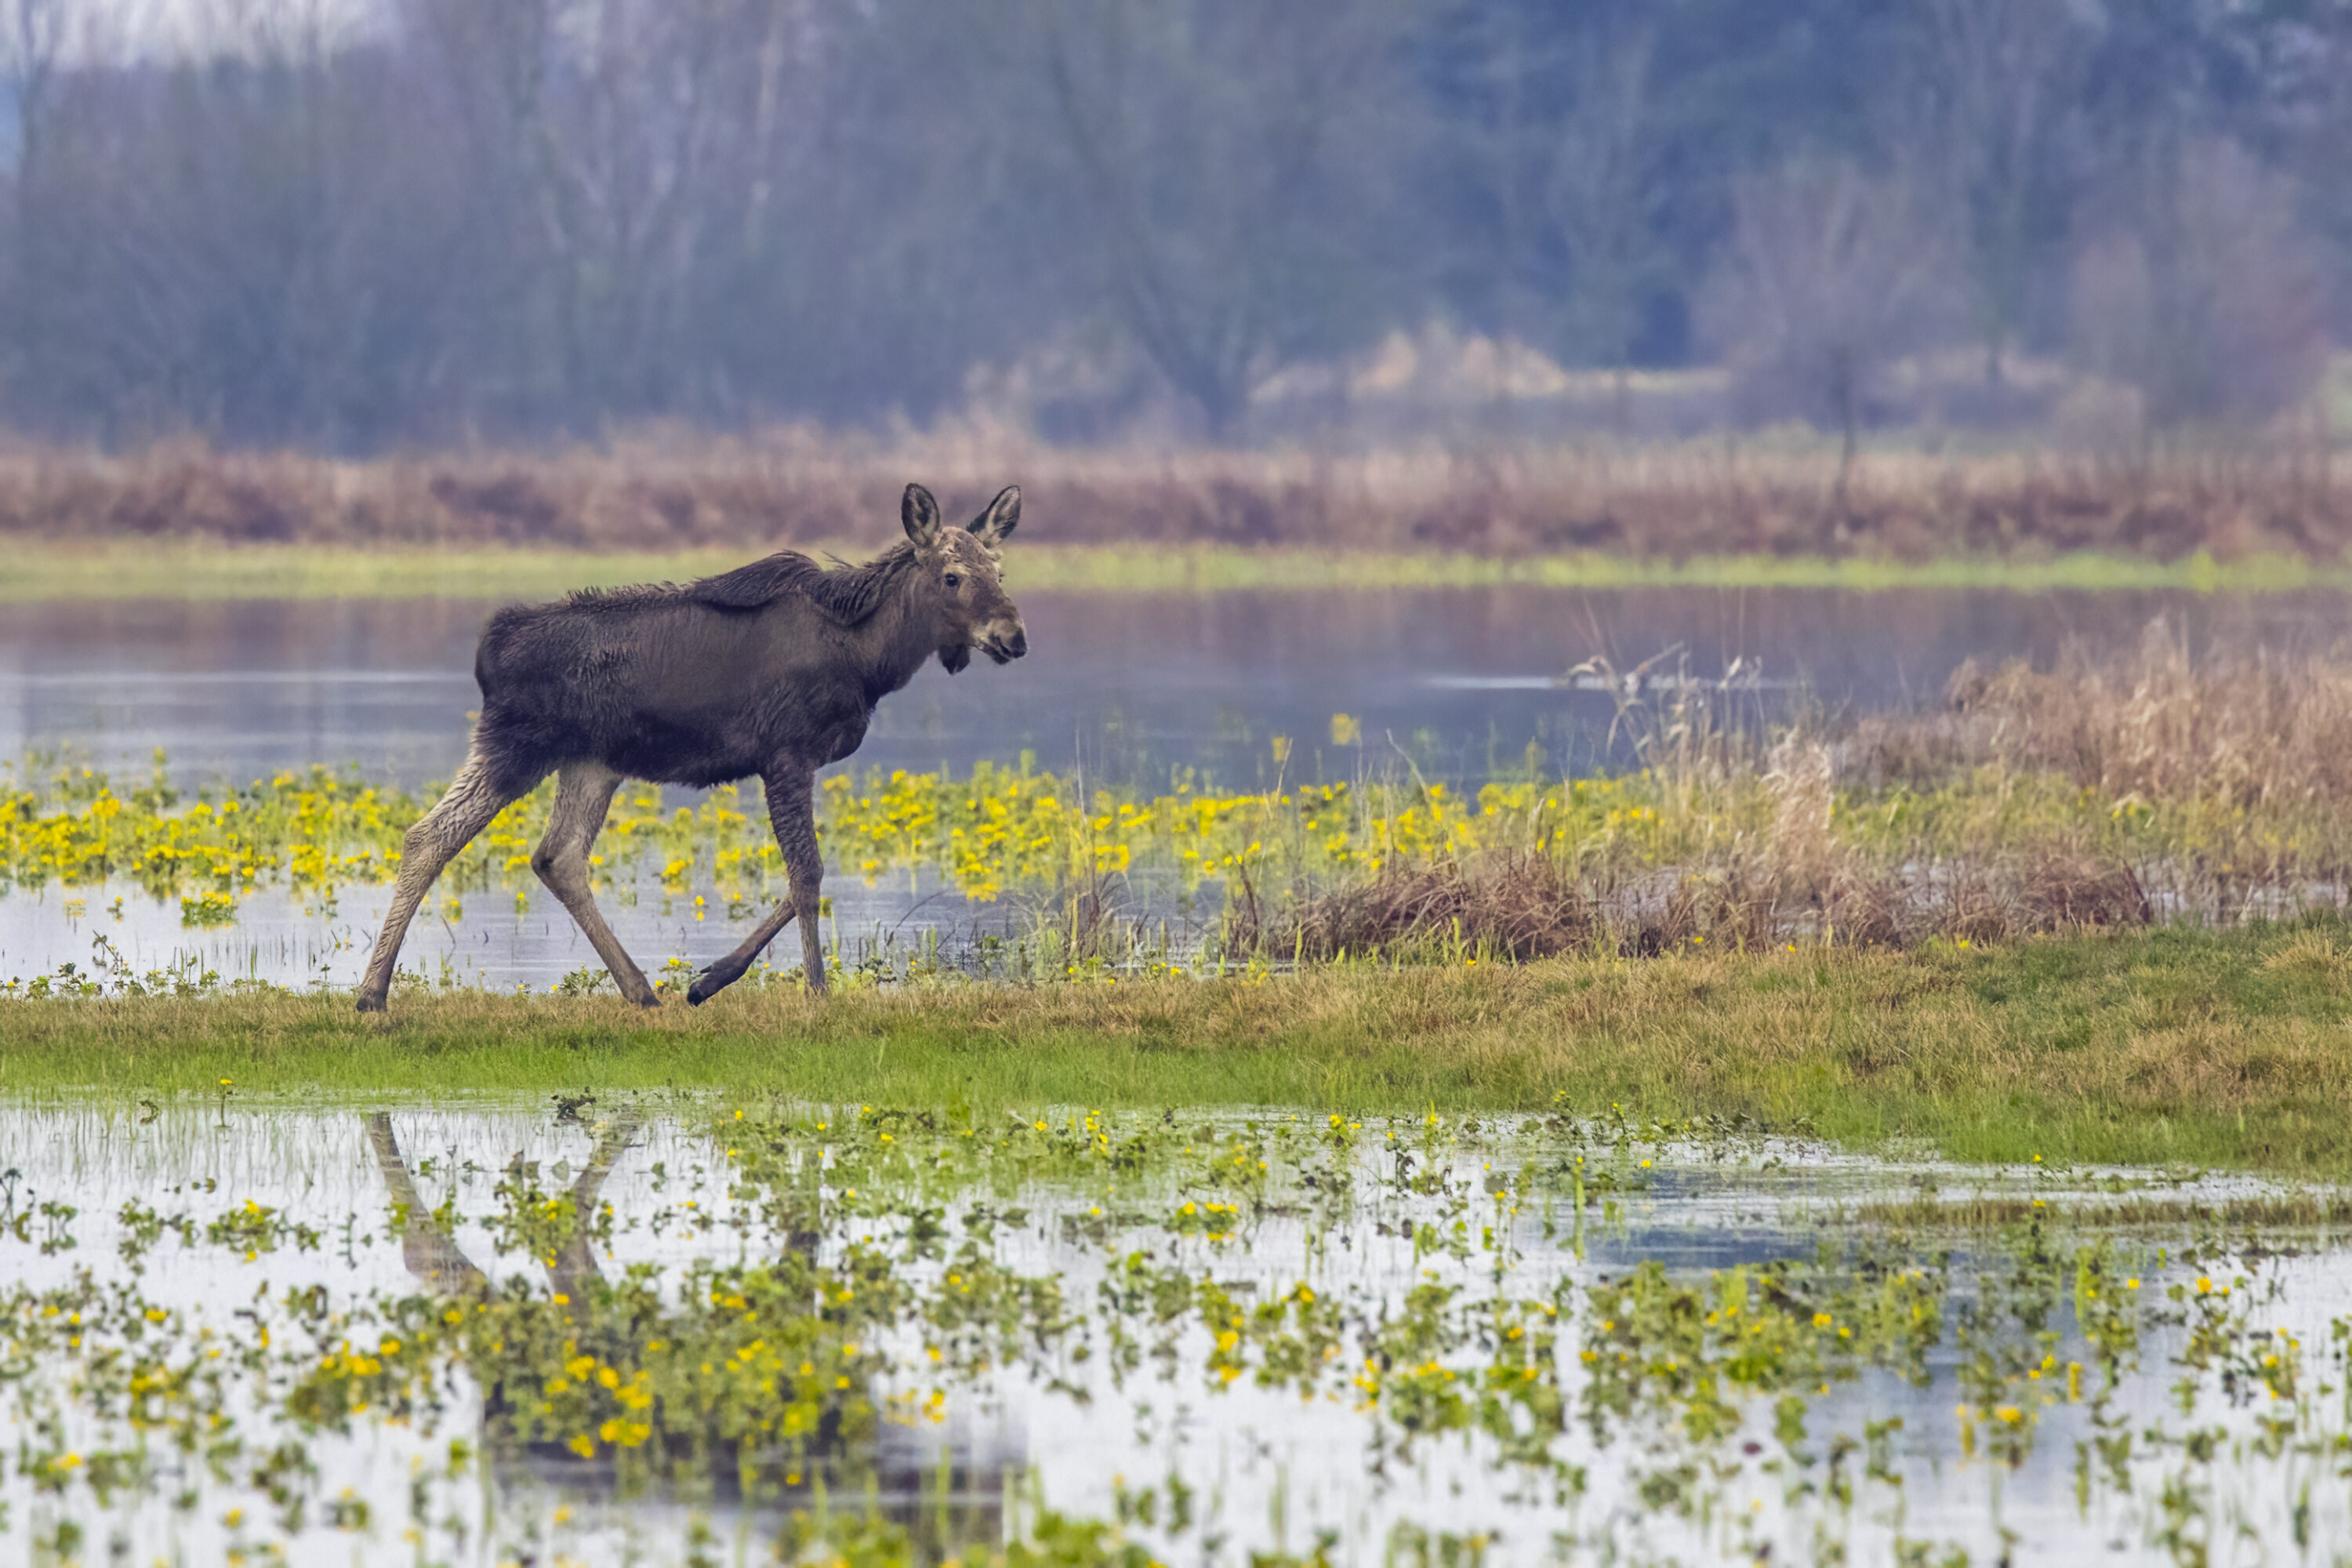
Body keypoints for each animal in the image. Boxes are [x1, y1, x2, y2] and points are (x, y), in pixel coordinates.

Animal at [354, 483, 1027, 1014]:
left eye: (1001, 573)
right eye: (952, 576)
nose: (1013, 636)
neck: (871, 661)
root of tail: (486, 653)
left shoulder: (785, 761)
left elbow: (799, 881)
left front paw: (708, 981)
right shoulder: (786, 754)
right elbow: (807, 876)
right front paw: (817, 990)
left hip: (591, 761)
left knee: (557, 857)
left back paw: (641, 989)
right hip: (516, 745)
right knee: (430, 836)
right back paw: (371, 994)